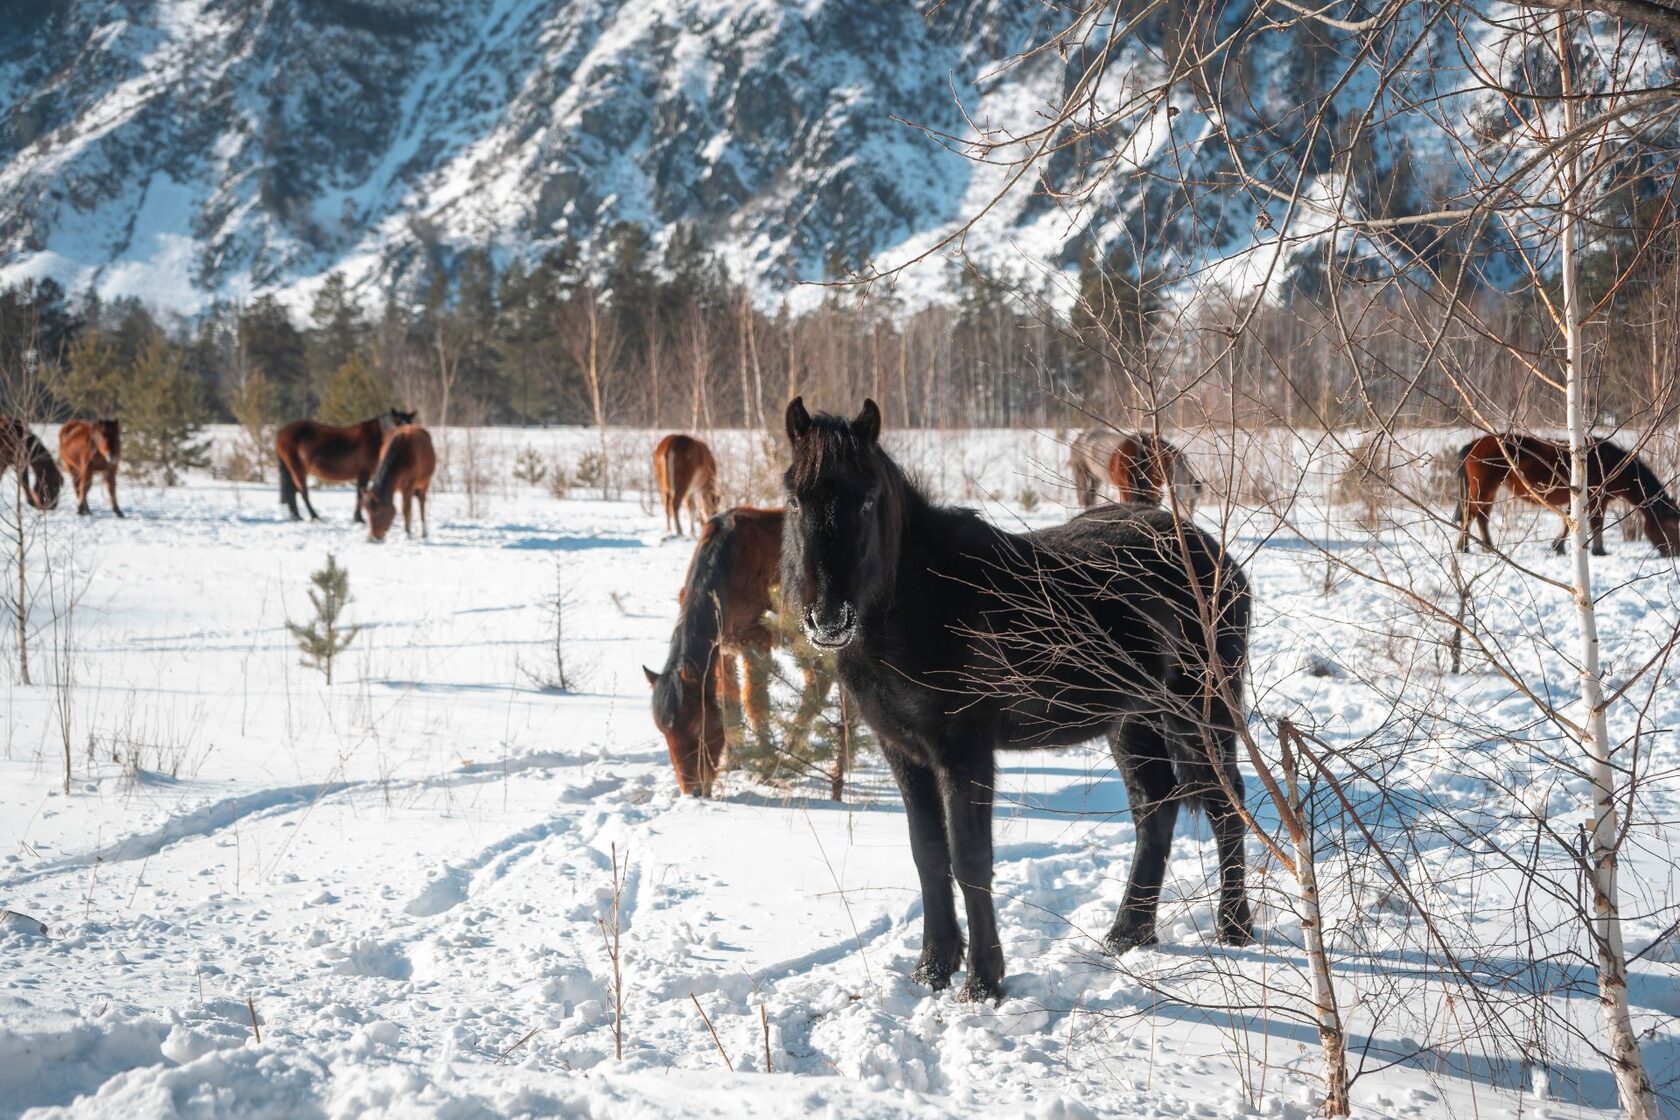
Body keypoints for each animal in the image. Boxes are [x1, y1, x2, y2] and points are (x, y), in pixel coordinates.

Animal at [276, 409, 415, 522]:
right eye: (397, 423)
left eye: (410, 423)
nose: (407, 440)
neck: (376, 437)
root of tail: (281, 432)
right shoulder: (364, 472)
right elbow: (360, 495)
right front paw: (359, 519)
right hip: (297, 468)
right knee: (302, 492)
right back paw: (314, 516)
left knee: (293, 492)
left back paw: (297, 516)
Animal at [644, 506, 784, 797]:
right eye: (664, 732)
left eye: (698, 726)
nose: (694, 792)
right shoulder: (724, 647)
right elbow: (729, 701)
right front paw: (734, 761)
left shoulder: (756, 640)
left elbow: (756, 704)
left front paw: (766, 770)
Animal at [1070, 429, 1200, 511]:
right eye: (1191, 501)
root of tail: (1079, 438)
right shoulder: (1125, 489)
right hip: (1082, 473)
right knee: (1085, 498)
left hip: (1096, 478)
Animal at [1456, 433, 1680, 557]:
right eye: (1671, 526)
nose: (1674, 553)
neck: (1610, 464)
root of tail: (1474, 444)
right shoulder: (1596, 499)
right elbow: (1596, 524)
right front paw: (1599, 551)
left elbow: (1569, 522)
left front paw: (1558, 547)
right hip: (1484, 488)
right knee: (1471, 514)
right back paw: (1464, 548)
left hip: (1489, 490)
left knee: (1482, 517)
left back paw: (1486, 547)